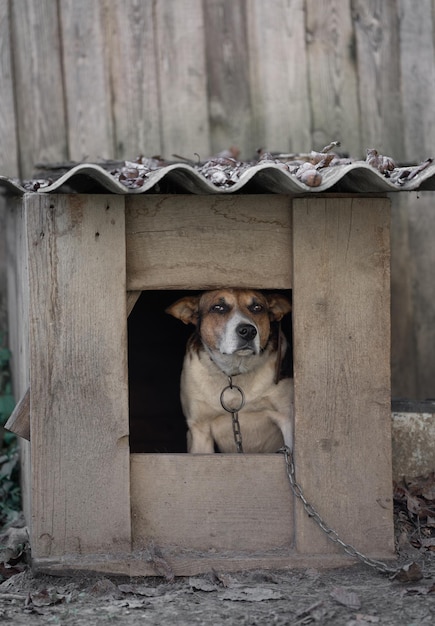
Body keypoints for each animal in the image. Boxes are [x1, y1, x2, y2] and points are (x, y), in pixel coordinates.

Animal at [165, 288, 294, 454]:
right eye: (218, 308)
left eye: (257, 308)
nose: (248, 331)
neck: (234, 371)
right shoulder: (200, 429)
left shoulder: (287, 419)